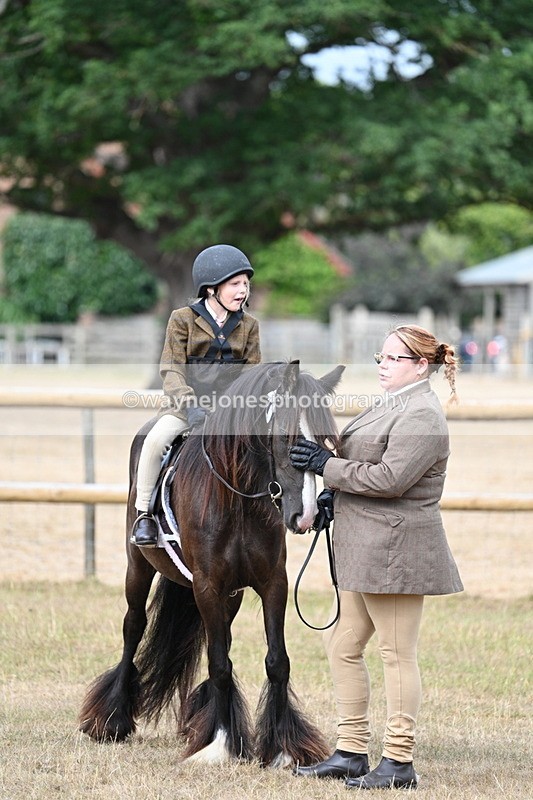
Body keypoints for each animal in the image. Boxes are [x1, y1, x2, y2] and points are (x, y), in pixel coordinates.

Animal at [79, 360, 344, 767]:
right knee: (133, 627)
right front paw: (219, 744)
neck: (237, 501)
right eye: (286, 439)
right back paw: (111, 719)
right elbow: (219, 663)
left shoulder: (272, 584)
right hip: (138, 568)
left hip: (230, 595)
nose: (308, 515)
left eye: (327, 444)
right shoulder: (207, 585)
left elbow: (275, 662)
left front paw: (282, 747)